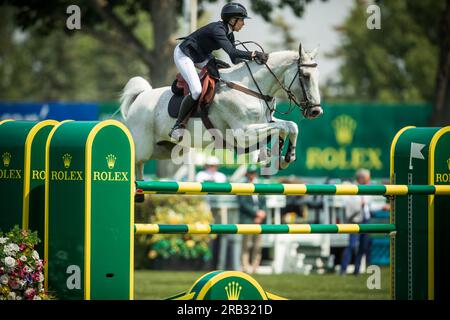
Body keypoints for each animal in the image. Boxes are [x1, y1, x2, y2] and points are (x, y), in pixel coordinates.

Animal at [120, 44, 324, 180]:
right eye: (305, 76)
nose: (316, 111)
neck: (251, 87)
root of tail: (140, 97)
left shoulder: (265, 122)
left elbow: (290, 126)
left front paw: (286, 157)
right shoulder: (243, 132)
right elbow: (284, 126)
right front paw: (282, 156)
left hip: (162, 150)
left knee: (139, 169)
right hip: (143, 147)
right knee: (135, 162)